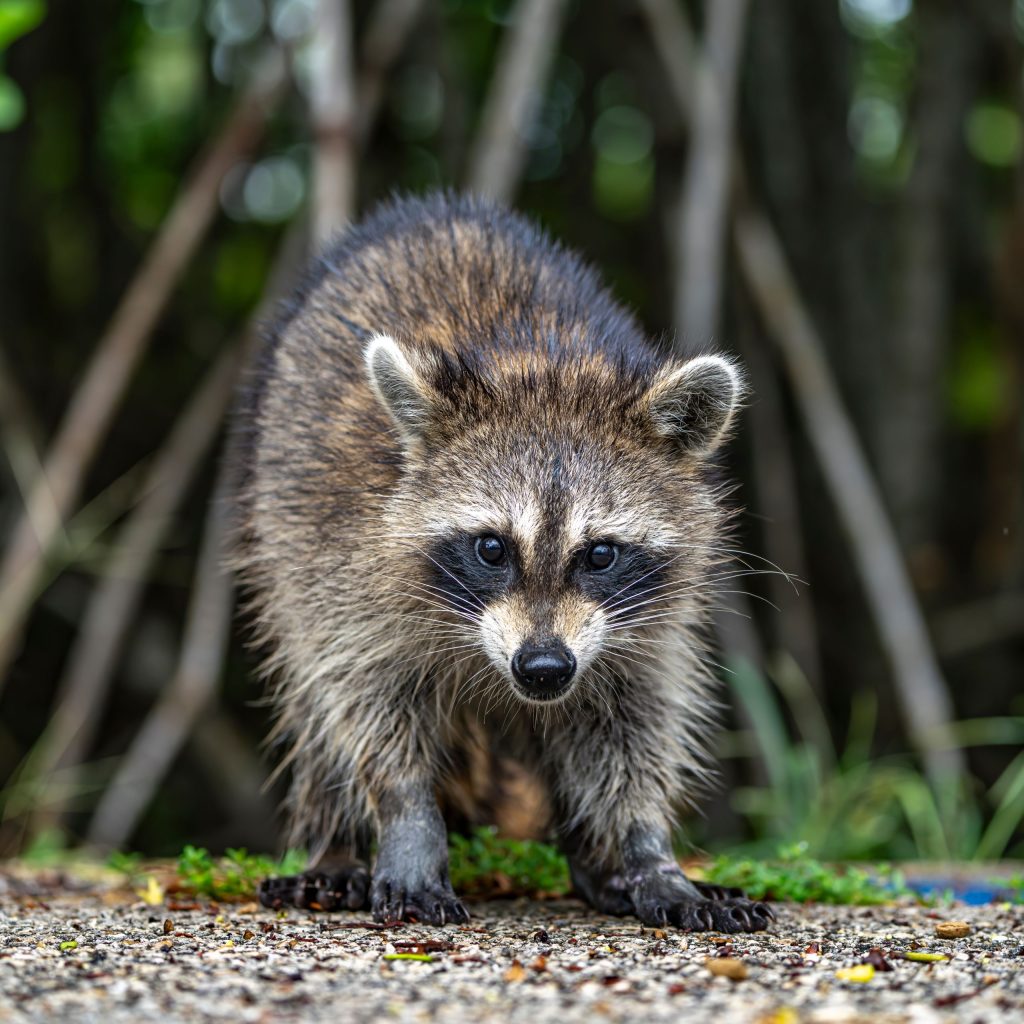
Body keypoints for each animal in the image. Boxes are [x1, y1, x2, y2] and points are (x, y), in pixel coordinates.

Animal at [233, 192, 772, 932]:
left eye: (600, 554)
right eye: (492, 547)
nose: (543, 668)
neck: (538, 368)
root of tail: (437, 211)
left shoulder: (648, 625)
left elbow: (632, 724)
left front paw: (644, 850)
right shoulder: (347, 567)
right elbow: (368, 704)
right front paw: (408, 824)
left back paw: (596, 863)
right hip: (278, 527)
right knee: (313, 704)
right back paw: (333, 844)